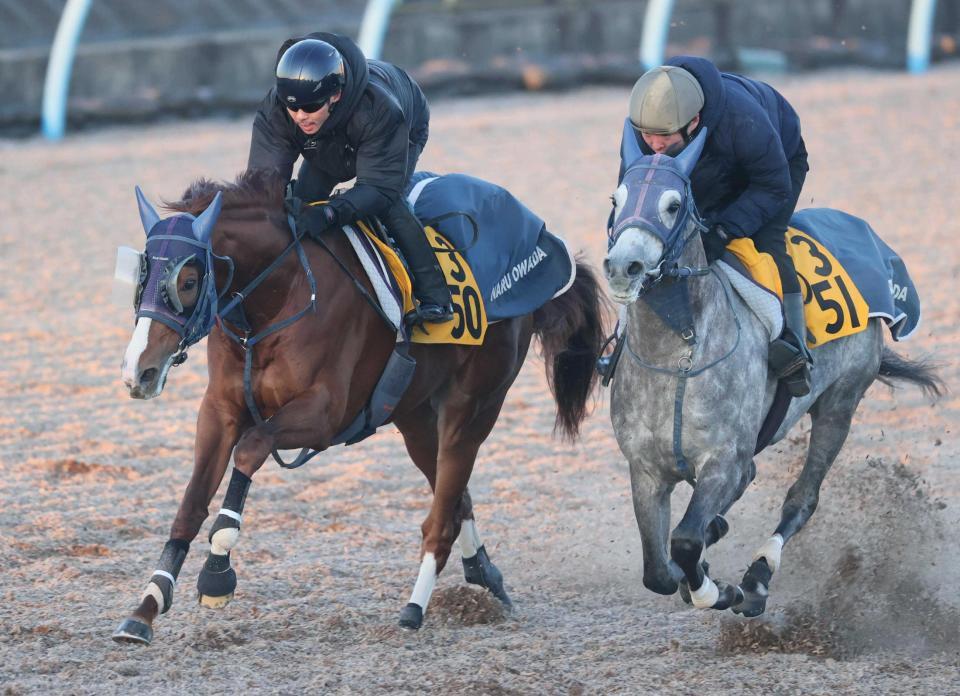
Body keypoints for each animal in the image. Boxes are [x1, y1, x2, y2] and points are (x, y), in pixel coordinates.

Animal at [112, 171, 604, 644]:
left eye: (188, 281)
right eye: (141, 278)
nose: (140, 372)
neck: (280, 294)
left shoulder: (325, 414)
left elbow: (250, 449)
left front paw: (217, 573)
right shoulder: (220, 410)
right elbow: (191, 504)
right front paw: (146, 607)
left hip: (474, 405)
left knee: (442, 514)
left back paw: (414, 609)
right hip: (414, 416)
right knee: (454, 496)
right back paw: (484, 575)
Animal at [604, 125, 940, 616]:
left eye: (673, 204)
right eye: (617, 199)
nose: (622, 268)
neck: (676, 361)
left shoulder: (723, 459)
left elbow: (684, 542)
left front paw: (720, 589)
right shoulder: (646, 471)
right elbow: (659, 573)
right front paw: (697, 569)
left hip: (840, 403)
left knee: (802, 498)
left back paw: (758, 576)